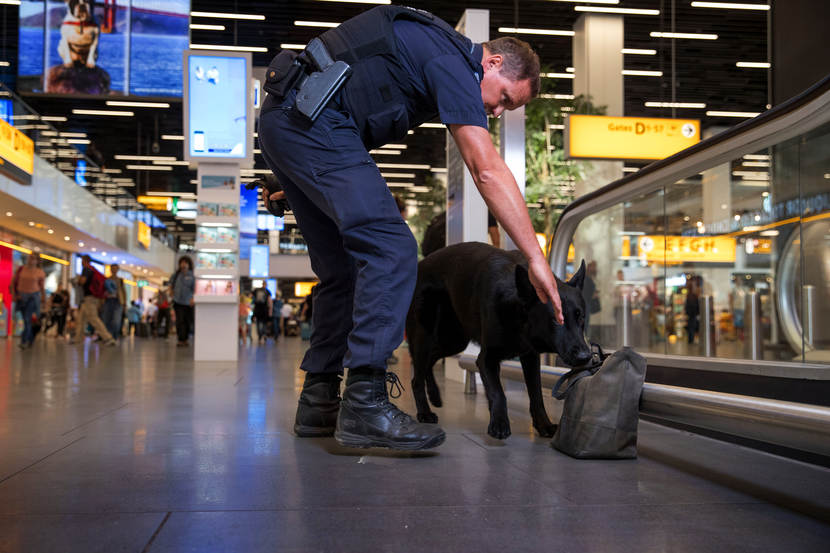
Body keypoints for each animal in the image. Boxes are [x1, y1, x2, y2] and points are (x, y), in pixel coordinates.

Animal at [406, 242, 596, 440]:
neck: (516, 313)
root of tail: (421, 264)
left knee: (429, 361)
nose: (586, 356)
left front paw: (543, 424)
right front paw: (499, 422)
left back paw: (434, 394)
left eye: (581, 317)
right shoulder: (486, 359)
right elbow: (498, 392)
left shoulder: (530, 358)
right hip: (426, 337)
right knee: (416, 376)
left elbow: (536, 395)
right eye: (556, 320)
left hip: (453, 340)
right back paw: (424, 412)